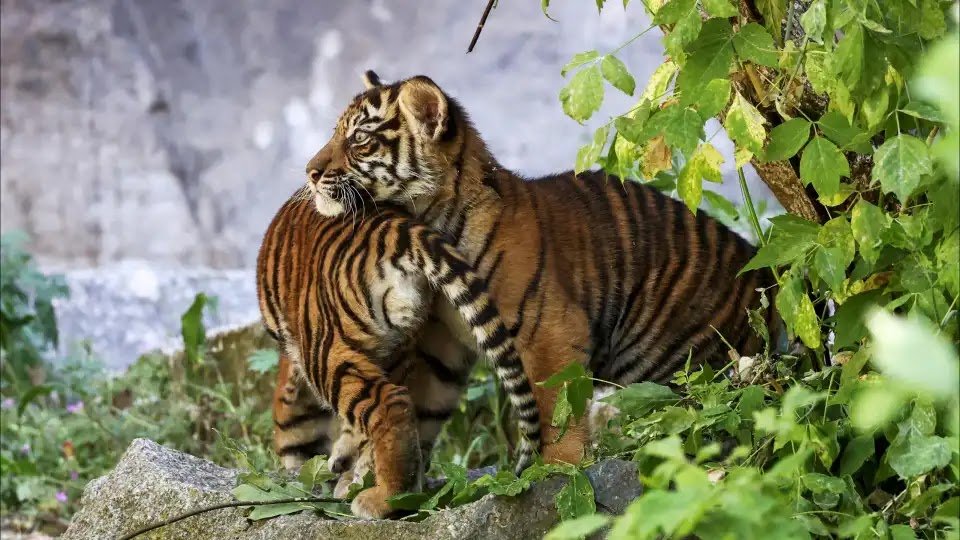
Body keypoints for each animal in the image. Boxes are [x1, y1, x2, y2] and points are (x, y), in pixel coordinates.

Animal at [302, 69, 782, 467]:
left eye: (359, 140)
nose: (309, 172)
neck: (433, 219)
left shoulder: (548, 330)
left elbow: (554, 406)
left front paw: (558, 468)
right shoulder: (440, 339)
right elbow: (421, 402)